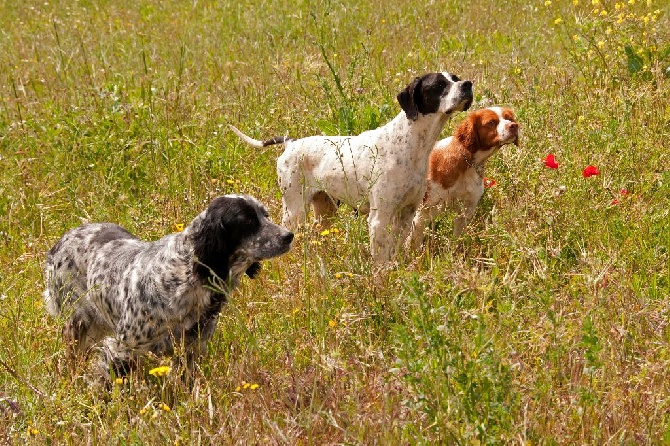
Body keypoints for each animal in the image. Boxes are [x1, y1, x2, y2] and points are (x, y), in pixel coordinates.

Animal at [42, 194, 294, 380]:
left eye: (265, 215)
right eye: (248, 222)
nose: (289, 235)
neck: (186, 277)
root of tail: (61, 241)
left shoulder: (192, 349)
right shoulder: (122, 348)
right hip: (77, 323)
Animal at [410, 106, 520, 249]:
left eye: (509, 118)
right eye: (491, 122)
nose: (514, 126)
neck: (467, 163)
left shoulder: (466, 210)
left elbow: (456, 240)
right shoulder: (426, 210)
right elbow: (415, 241)